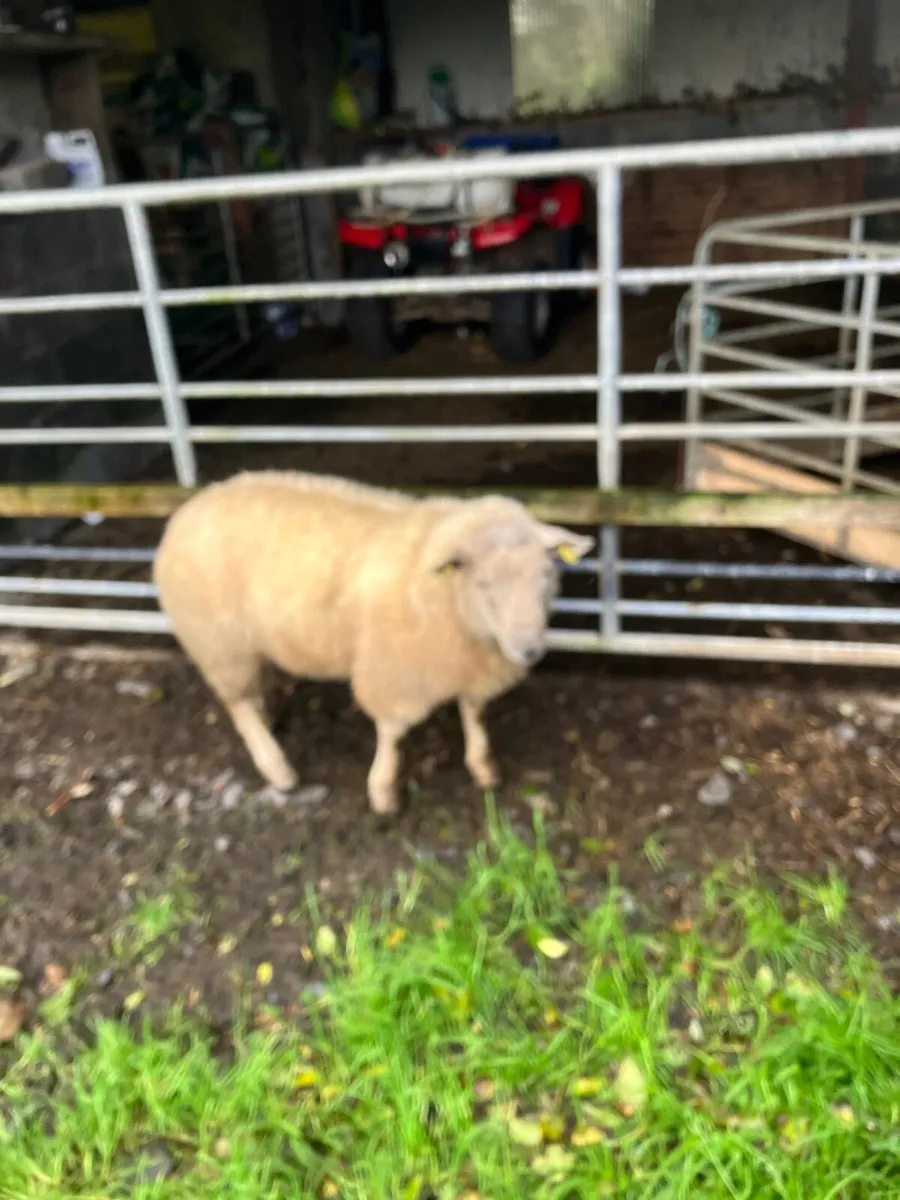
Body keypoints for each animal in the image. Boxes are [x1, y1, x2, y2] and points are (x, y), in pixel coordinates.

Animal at [153, 470, 594, 814]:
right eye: (484, 583)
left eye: (547, 574)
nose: (529, 650)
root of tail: (189, 509)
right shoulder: (393, 671)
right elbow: (392, 734)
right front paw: (383, 790)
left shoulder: (471, 667)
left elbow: (475, 715)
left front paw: (483, 767)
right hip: (220, 643)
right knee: (239, 705)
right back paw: (278, 768)